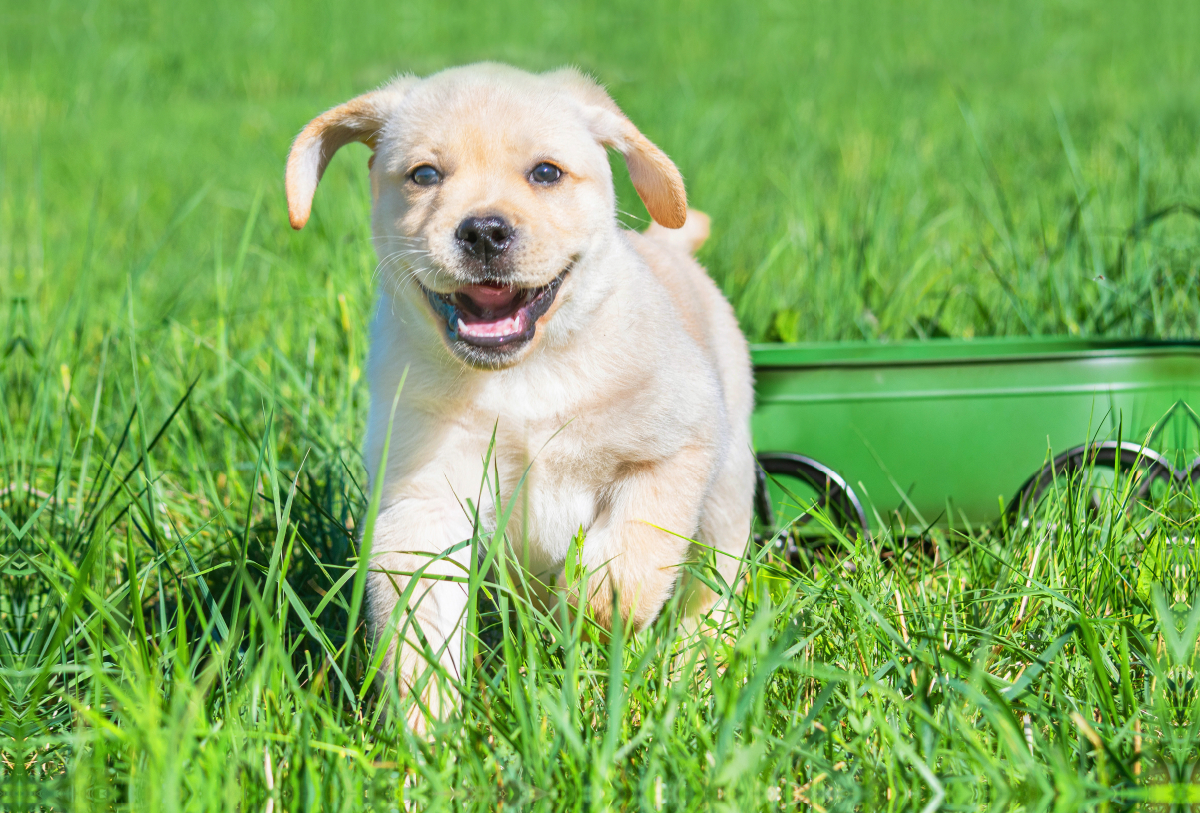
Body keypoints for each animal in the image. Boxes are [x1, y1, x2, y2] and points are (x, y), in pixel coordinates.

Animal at [286, 65, 753, 719]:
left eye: (546, 173)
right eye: (424, 175)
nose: (484, 231)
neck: (524, 379)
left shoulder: (678, 445)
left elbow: (632, 558)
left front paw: (590, 611)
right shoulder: (423, 501)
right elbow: (419, 628)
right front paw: (429, 729)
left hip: (726, 494)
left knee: (710, 592)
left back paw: (699, 668)